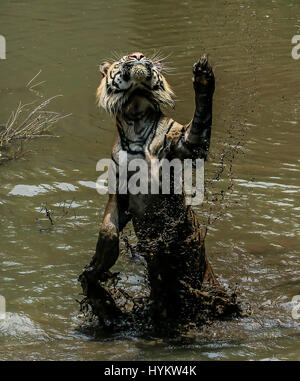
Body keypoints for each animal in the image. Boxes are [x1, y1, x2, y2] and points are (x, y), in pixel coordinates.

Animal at [79, 52, 241, 332]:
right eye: (125, 57)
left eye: (141, 55)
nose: (138, 56)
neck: (136, 116)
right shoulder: (119, 191)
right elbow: (108, 228)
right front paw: (99, 263)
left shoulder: (188, 144)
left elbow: (200, 120)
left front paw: (203, 75)